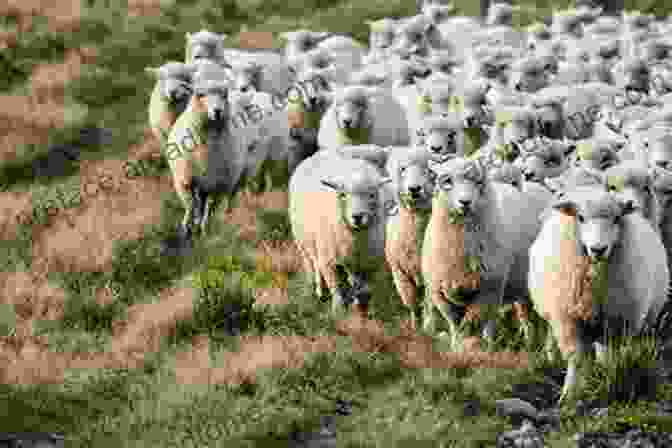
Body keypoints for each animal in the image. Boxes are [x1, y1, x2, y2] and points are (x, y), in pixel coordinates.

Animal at [288, 152, 394, 314]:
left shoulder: (369, 262)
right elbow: (337, 288)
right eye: (343, 195)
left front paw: (361, 309)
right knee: (312, 266)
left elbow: (364, 290)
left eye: (372, 194)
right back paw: (317, 292)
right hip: (304, 245)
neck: (356, 240)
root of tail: (319, 153)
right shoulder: (330, 261)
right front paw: (338, 311)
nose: (357, 217)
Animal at [386, 145, 438, 328]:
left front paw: (429, 329)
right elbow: (412, 305)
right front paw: (415, 329)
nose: (414, 189)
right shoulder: (400, 275)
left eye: (428, 170)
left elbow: (429, 307)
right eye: (402, 169)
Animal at [422, 158, 544, 350]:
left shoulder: (487, 290)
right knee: (520, 316)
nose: (465, 202)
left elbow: (469, 327)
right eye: (447, 181)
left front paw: (470, 350)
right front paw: (457, 349)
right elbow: (456, 326)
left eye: (479, 182)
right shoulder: (442, 294)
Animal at [532, 186, 668, 402]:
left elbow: (611, 354)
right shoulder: (568, 319)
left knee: (603, 349)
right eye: (580, 217)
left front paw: (609, 383)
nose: (598, 249)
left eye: (617, 218)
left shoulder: (617, 319)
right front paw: (570, 394)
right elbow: (576, 359)